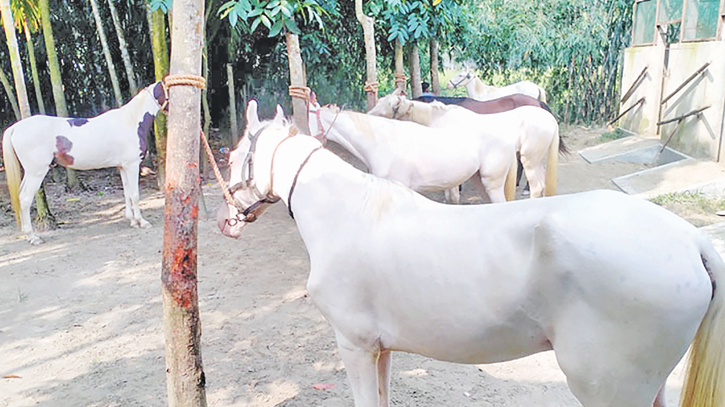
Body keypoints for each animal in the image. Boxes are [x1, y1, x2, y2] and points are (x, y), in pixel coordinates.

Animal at [1, 81, 167, 244]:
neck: (131, 121)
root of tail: (15, 127)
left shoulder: (123, 167)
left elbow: (127, 193)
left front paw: (132, 221)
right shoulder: (132, 166)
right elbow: (135, 194)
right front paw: (142, 222)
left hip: (30, 173)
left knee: (19, 196)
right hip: (36, 172)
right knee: (25, 198)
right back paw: (33, 237)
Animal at [368, 91, 560, 199]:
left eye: (387, 107)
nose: (367, 114)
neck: (439, 118)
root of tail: (549, 119)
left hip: (529, 159)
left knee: (537, 186)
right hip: (535, 159)